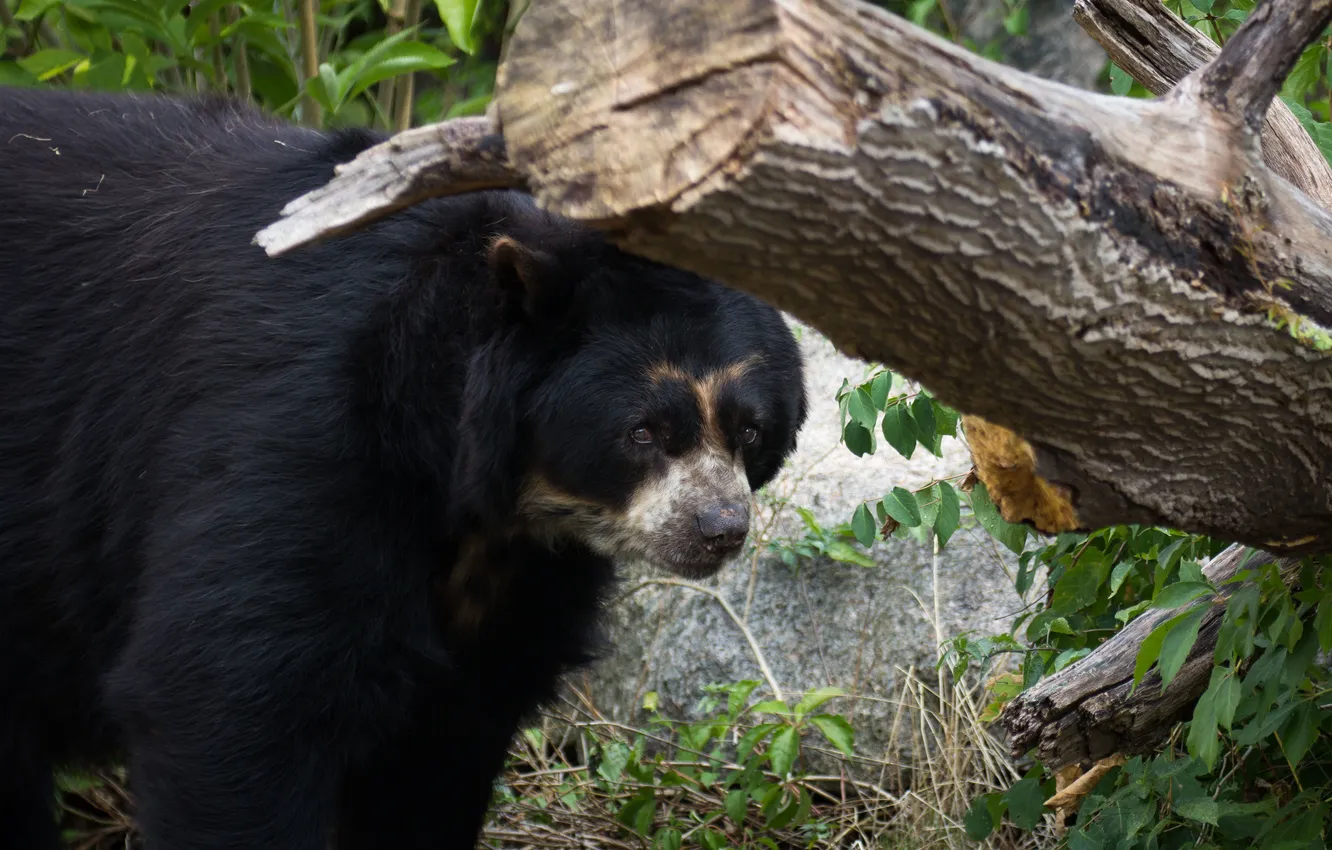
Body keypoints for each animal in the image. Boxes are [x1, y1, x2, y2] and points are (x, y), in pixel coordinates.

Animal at [0, 87, 809, 850]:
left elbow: (439, 758)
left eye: (748, 428)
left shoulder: (521, 586)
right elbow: (225, 699)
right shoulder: (292, 441)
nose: (719, 528)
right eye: (643, 432)